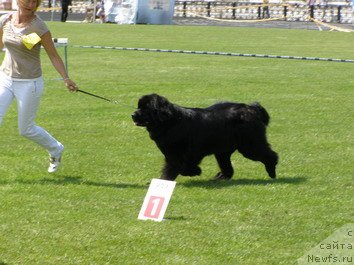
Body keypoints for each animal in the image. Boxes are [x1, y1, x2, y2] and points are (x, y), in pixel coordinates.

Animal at [131, 94, 278, 180]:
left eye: (146, 108)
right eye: (139, 107)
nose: (133, 115)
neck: (170, 121)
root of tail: (251, 108)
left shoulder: (181, 154)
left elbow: (175, 167)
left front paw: (167, 180)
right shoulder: (175, 154)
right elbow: (178, 166)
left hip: (249, 145)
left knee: (270, 155)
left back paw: (272, 172)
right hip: (223, 150)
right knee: (227, 166)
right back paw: (221, 177)